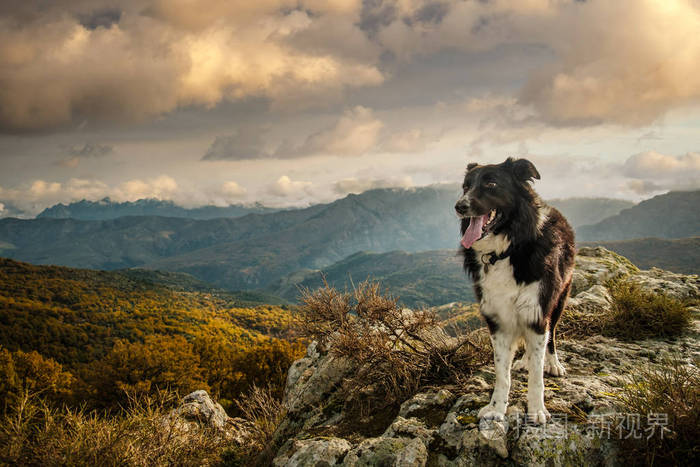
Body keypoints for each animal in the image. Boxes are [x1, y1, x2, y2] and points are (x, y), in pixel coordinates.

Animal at [454, 159, 576, 426]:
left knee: (551, 335)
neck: (506, 250)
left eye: (491, 184)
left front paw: (537, 409)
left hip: (559, 300)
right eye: (466, 186)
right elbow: (502, 374)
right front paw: (496, 409)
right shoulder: (498, 321)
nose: (459, 206)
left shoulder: (537, 314)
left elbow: (537, 376)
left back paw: (553, 363)